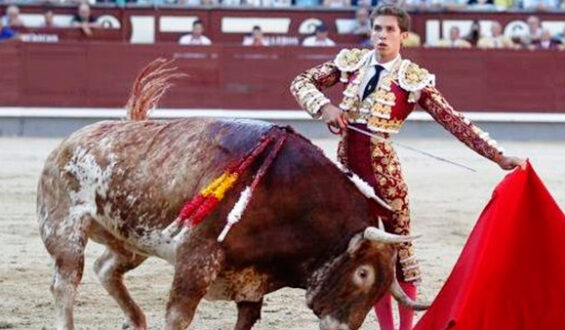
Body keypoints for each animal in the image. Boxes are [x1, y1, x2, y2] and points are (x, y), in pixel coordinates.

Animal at [37, 59, 426, 330]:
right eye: (363, 274)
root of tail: (68, 143)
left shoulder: (251, 284)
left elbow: (246, 318)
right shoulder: (196, 262)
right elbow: (178, 317)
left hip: (130, 239)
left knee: (105, 268)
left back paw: (136, 320)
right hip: (65, 229)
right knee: (65, 284)